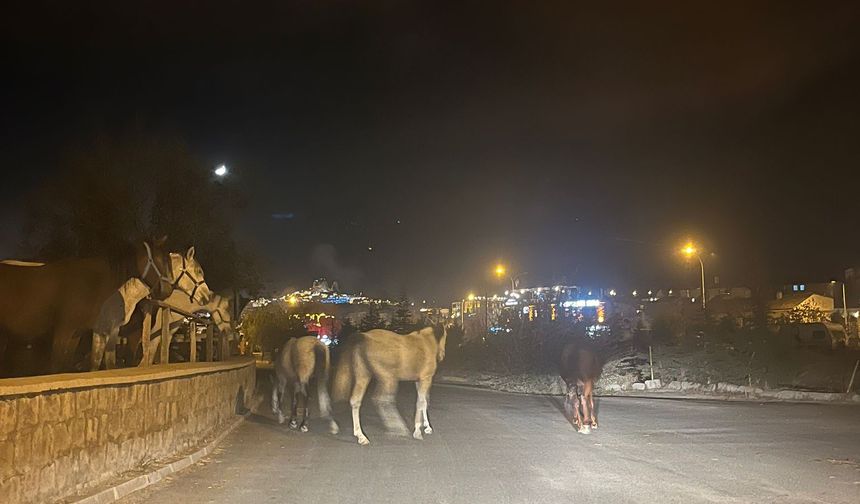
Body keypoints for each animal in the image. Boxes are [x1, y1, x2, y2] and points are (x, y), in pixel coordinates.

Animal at [0, 238, 175, 376]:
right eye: (157, 260)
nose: (167, 290)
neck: (93, 282)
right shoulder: (64, 329)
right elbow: (56, 366)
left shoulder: (81, 333)